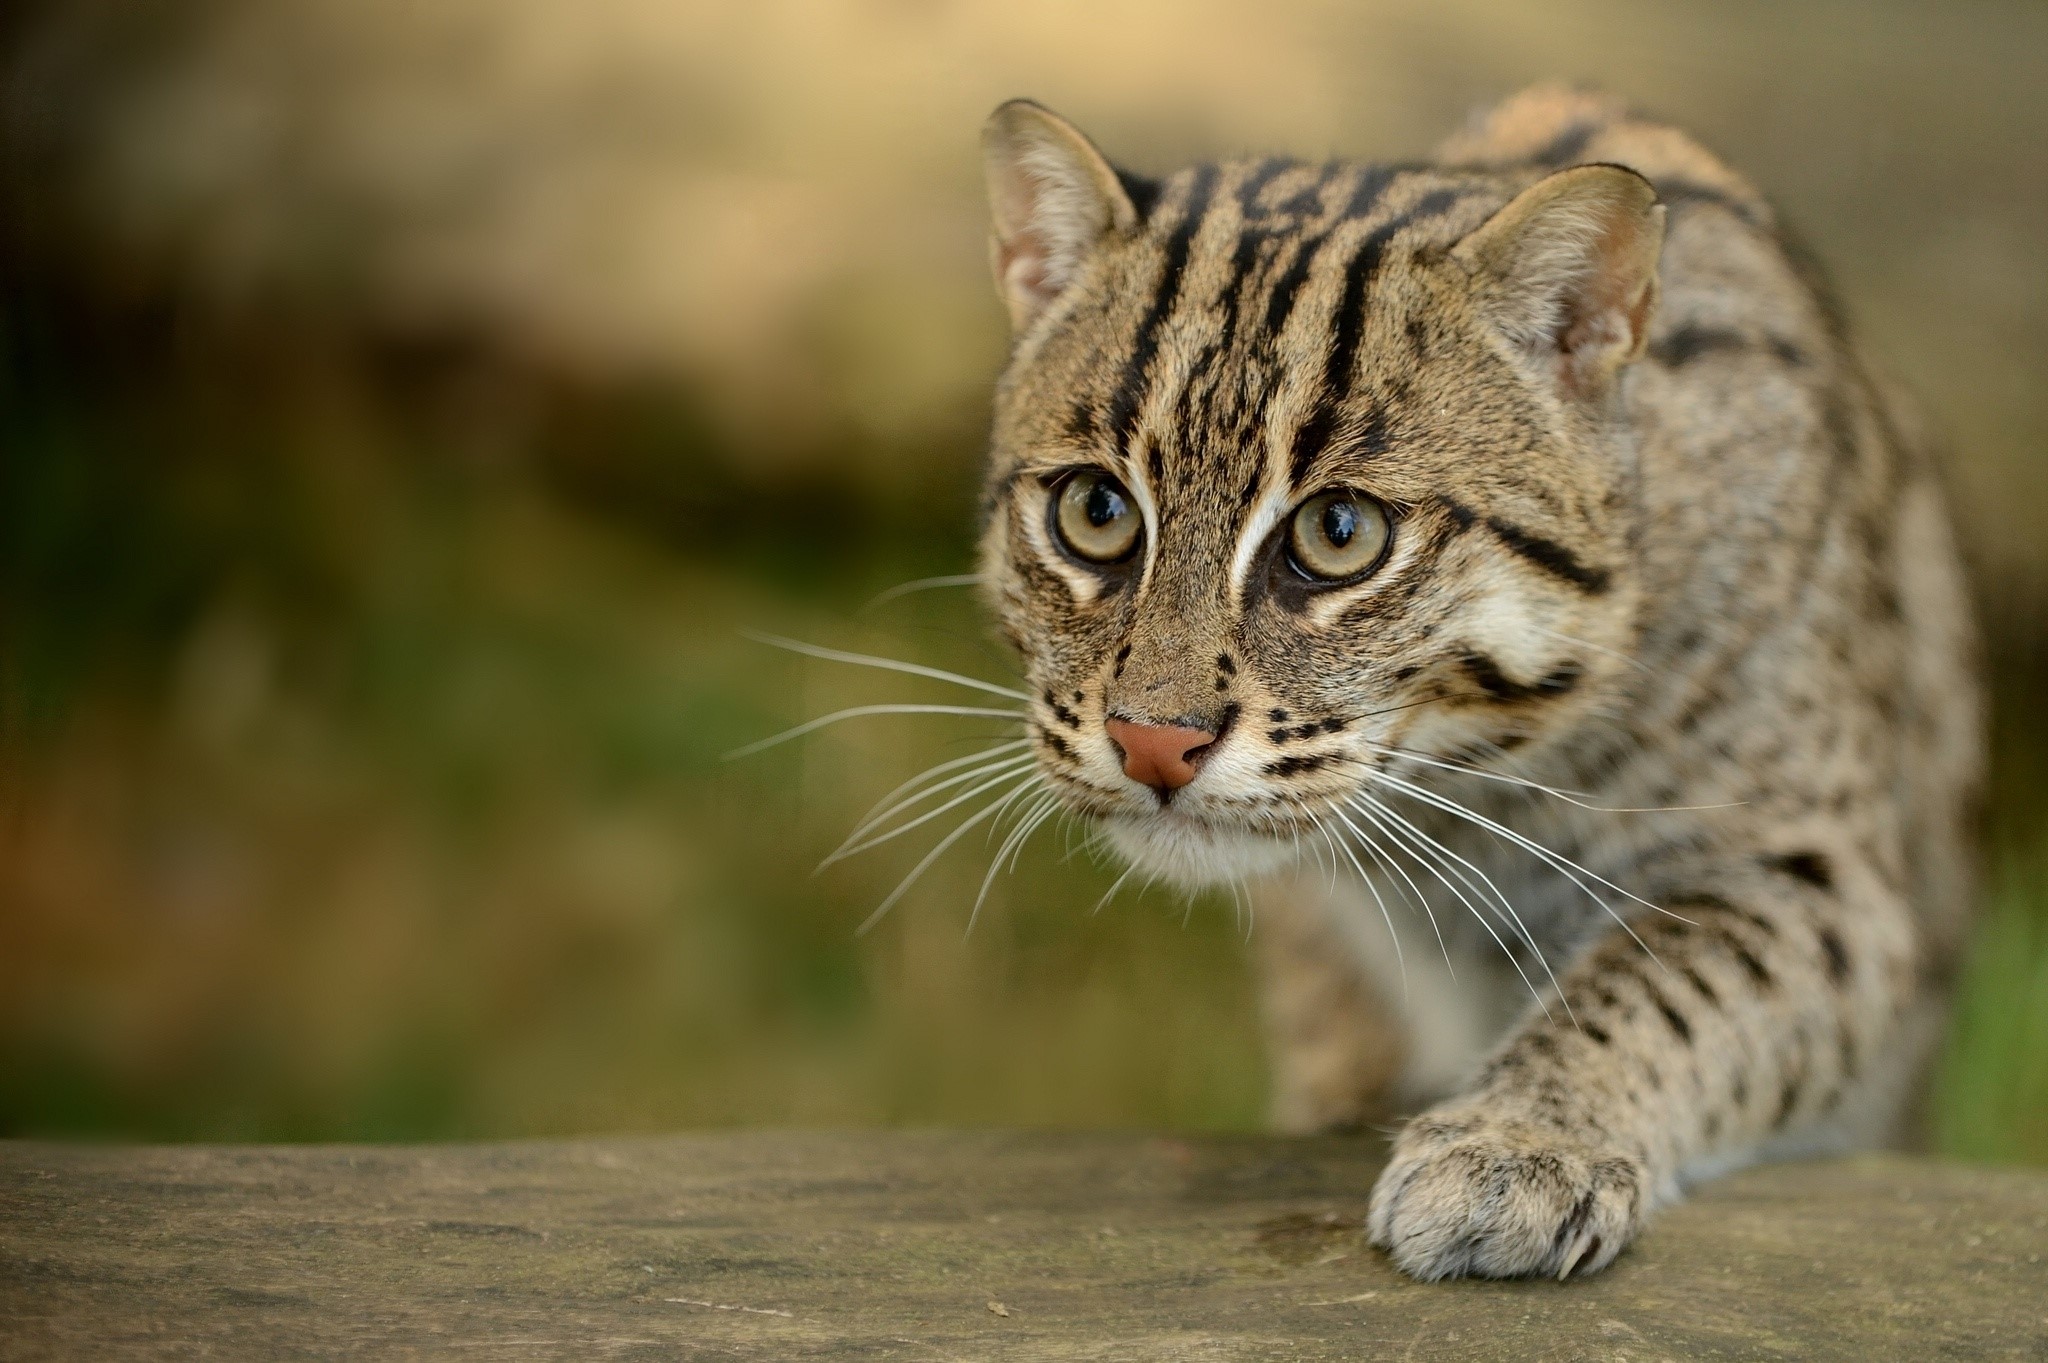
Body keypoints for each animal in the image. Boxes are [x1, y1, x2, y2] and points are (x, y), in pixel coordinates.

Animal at [974, 84, 1982, 1277]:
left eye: (1340, 532)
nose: (1150, 742)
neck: (1473, 784)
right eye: (1094, 511)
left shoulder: (1824, 873)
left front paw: (1518, 1141)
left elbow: (1663, 980)